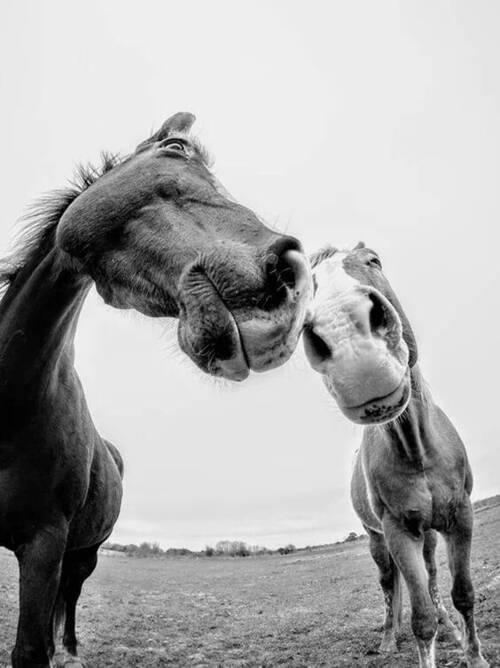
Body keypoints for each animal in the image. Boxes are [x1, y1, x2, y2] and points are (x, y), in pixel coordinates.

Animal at [0, 111, 312, 668]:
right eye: (175, 148)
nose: (294, 279)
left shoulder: (43, 545)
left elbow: (32, 647)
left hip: (83, 553)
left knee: (71, 595)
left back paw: (71, 648)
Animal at [302, 242, 489, 668]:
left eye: (374, 261)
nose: (350, 343)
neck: (417, 450)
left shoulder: (461, 516)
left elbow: (463, 594)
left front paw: (473, 654)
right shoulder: (398, 530)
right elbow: (420, 619)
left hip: (430, 536)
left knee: (433, 579)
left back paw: (451, 630)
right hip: (379, 541)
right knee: (390, 588)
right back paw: (388, 639)